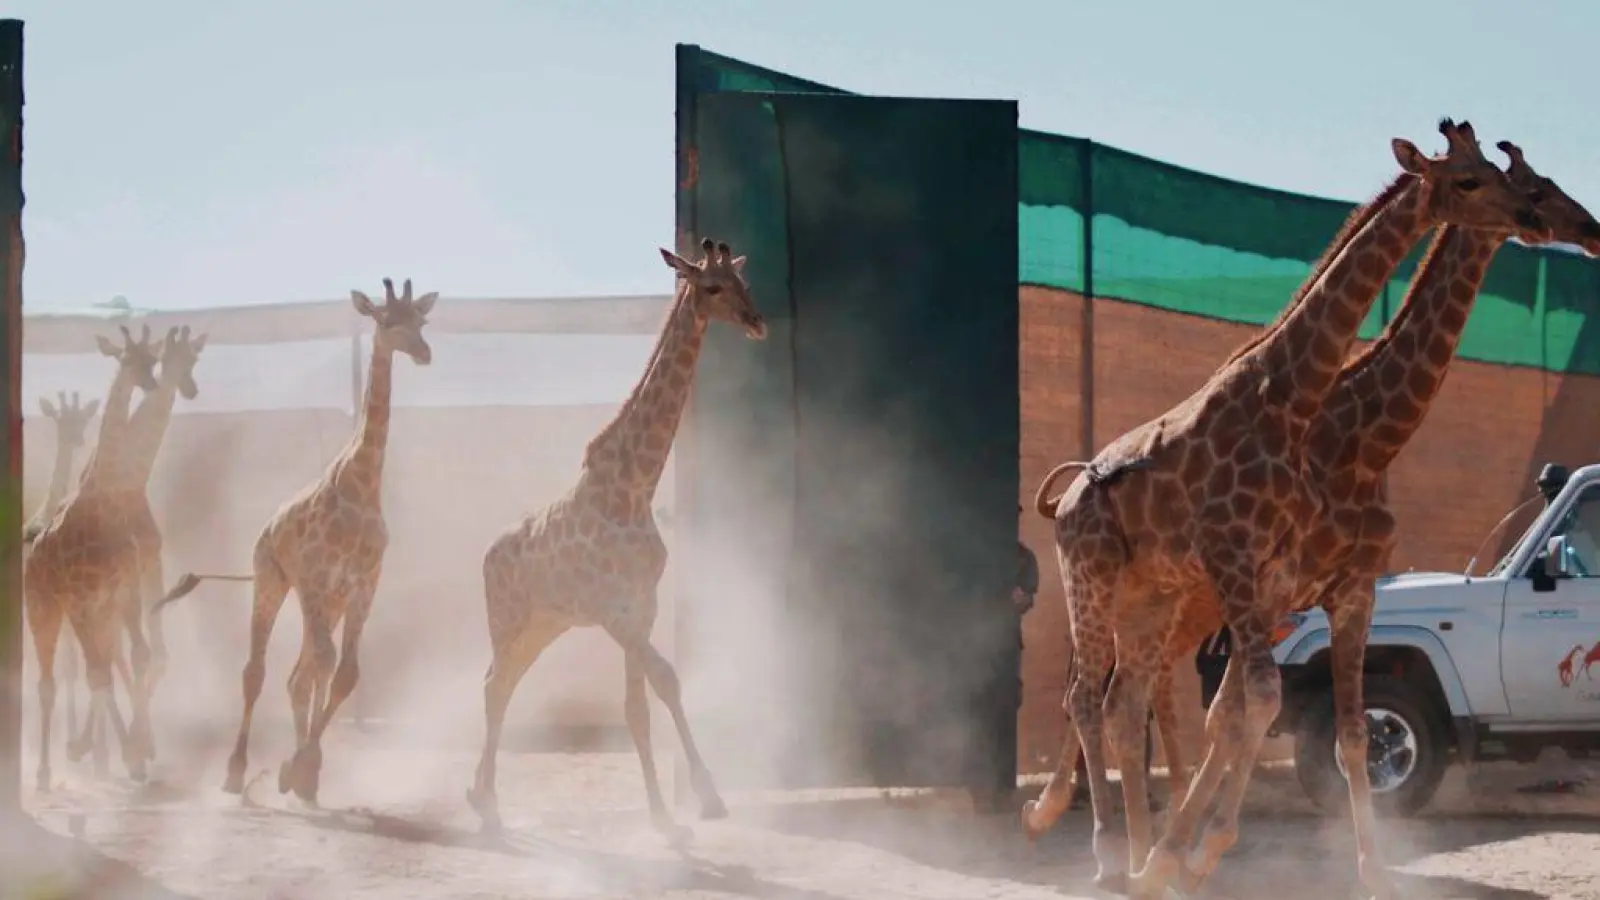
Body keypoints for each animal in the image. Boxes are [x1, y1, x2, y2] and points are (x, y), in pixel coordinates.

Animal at [23, 325, 163, 787]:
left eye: (153, 360)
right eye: (126, 358)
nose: (151, 384)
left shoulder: (124, 594)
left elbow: (136, 657)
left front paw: (136, 751)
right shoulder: (82, 600)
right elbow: (97, 674)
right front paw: (103, 751)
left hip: (93, 611)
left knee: (99, 666)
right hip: (44, 611)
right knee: (51, 681)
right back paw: (48, 770)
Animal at [155, 275, 435, 797]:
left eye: (421, 321)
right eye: (387, 320)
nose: (424, 352)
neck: (363, 486)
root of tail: (266, 529)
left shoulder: (363, 583)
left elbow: (345, 673)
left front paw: (304, 768)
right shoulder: (316, 577)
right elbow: (323, 665)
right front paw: (296, 765)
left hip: (326, 598)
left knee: (299, 676)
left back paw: (302, 773)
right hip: (274, 580)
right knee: (257, 671)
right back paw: (235, 771)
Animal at [467, 237, 764, 832]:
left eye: (743, 282)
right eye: (711, 286)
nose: (756, 322)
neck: (635, 487)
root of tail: (487, 555)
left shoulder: (642, 606)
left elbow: (642, 704)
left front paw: (669, 810)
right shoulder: (614, 612)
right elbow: (664, 682)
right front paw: (701, 799)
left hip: (543, 624)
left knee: (500, 683)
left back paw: (481, 796)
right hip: (507, 619)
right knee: (494, 687)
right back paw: (486, 805)